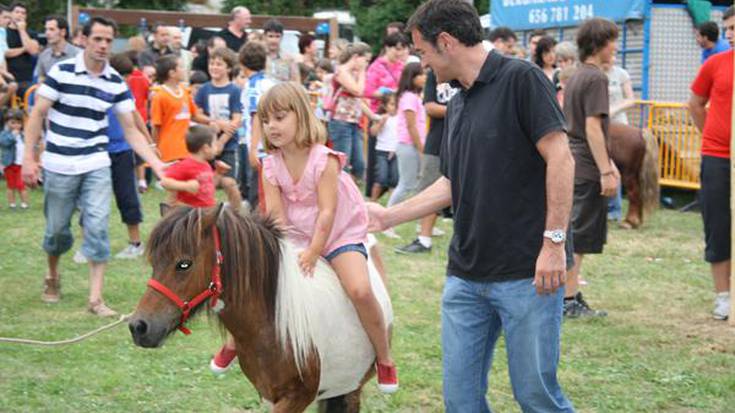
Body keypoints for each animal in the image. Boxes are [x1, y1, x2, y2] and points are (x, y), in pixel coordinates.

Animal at [128, 204, 392, 410]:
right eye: (154, 262)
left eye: (184, 264)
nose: (138, 326)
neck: (276, 325)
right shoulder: (267, 393)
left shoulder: (298, 397)